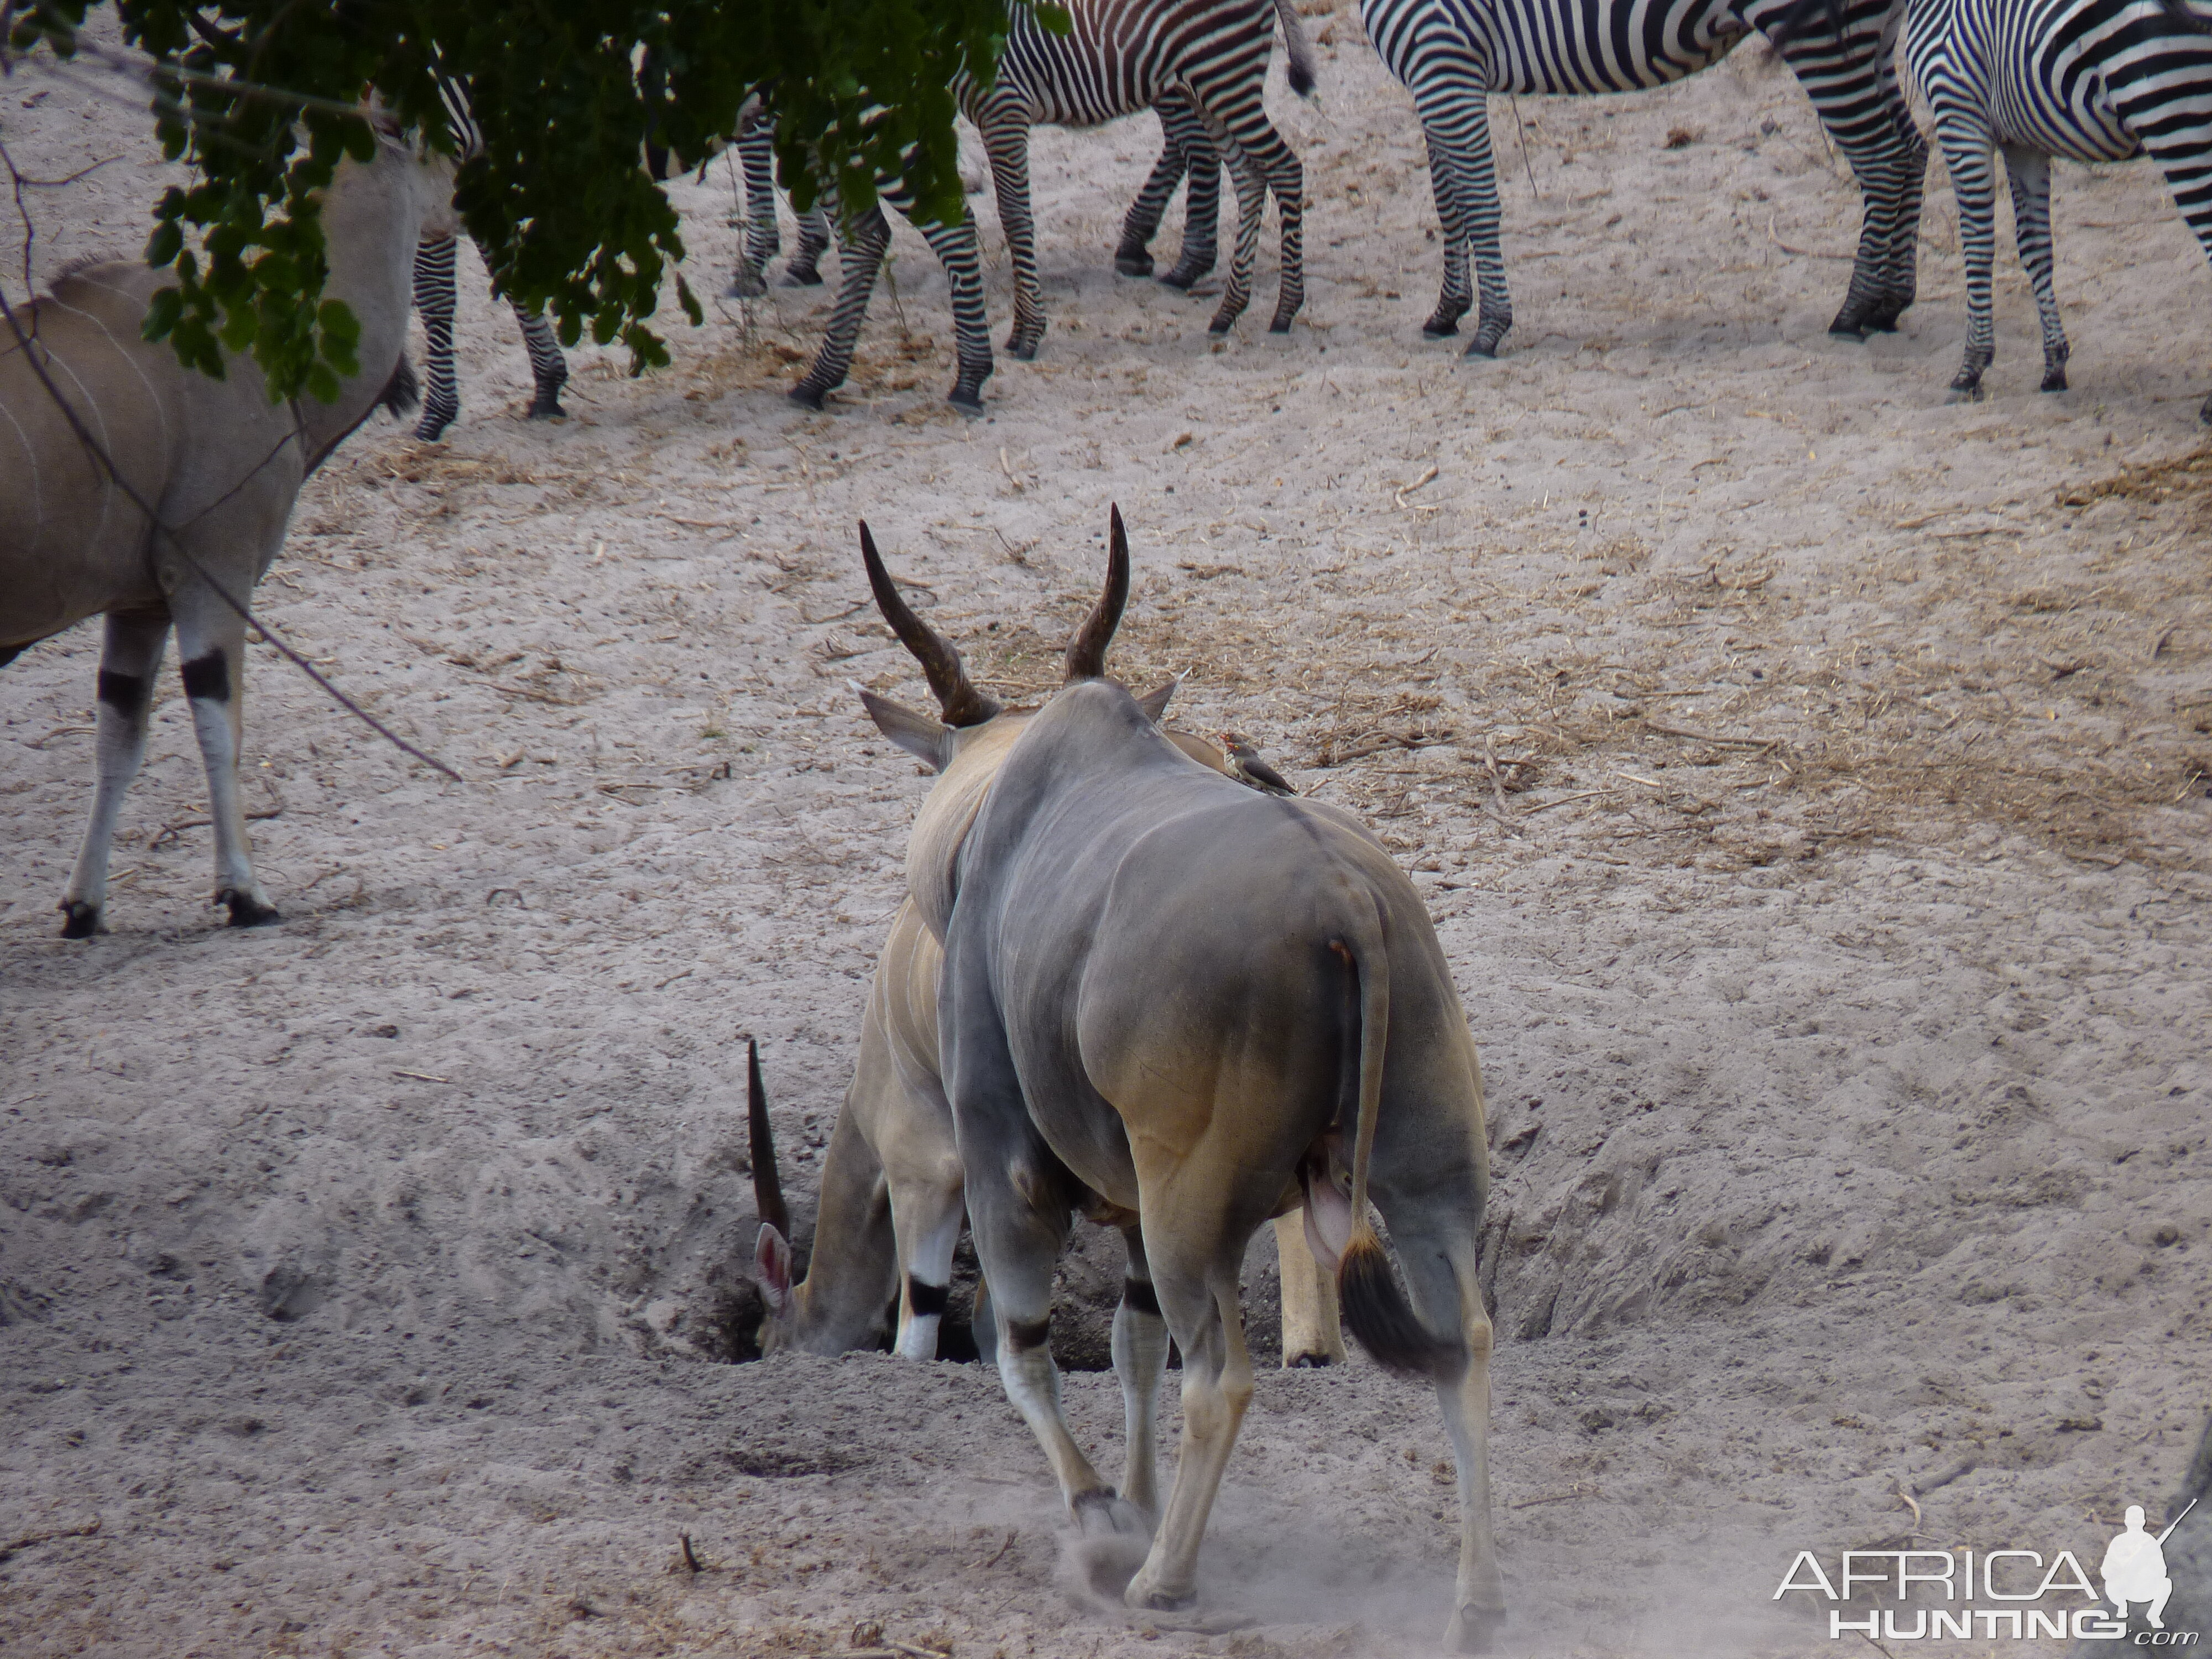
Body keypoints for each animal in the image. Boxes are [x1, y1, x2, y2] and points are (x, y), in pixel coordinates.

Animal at [0, 130, 440, 938]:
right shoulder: (214, 574)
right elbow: (219, 725)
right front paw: (245, 893)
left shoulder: (138, 605)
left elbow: (119, 738)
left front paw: (84, 906)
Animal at [845, 513, 1504, 1655]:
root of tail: (1346, 901)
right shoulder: (1129, 1215)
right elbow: (1131, 1343)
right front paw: (1135, 1506)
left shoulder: (1010, 1175)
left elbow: (1024, 1352)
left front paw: (1104, 1516)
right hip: (1422, 1183)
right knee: (1461, 1342)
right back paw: (1474, 1602)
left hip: (1191, 1208)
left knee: (1223, 1376)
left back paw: (1162, 1581)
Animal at [1354, 0, 1929, 358]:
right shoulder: (1436, 75)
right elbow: (1447, 199)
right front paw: (1447, 311)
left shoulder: (1442, 58)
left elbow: (1475, 202)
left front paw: (1490, 328)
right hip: (1873, 41)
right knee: (1912, 152)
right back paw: (1890, 303)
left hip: (1824, 40)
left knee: (1882, 161)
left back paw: (1854, 310)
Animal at [1885, 0, 2212, 416]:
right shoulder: (2022, 139)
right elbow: (2035, 248)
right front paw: (2054, 366)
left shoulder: (1959, 114)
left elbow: (1977, 246)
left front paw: (1971, 370)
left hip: (2173, 117)